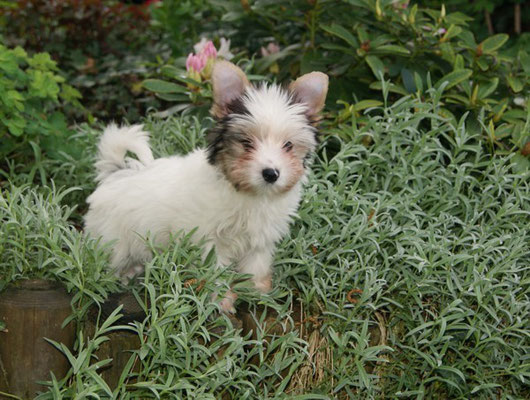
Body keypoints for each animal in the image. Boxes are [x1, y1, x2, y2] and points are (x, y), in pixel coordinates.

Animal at [84, 61, 326, 312]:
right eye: (246, 143)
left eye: (288, 145)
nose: (271, 174)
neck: (247, 192)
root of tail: (116, 173)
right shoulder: (208, 240)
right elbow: (214, 271)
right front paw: (221, 301)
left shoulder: (260, 239)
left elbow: (256, 265)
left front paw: (258, 292)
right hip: (113, 240)